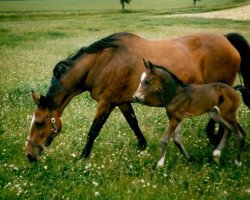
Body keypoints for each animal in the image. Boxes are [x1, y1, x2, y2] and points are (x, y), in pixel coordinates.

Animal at [23, 32, 250, 162]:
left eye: (40, 123)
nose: (29, 155)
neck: (103, 63)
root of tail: (226, 39)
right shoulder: (122, 101)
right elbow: (133, 123)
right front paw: (142, 146)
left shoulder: (106, 103)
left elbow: (93, 131)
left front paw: (82, 157)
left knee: (221, 123)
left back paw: (215, 141)